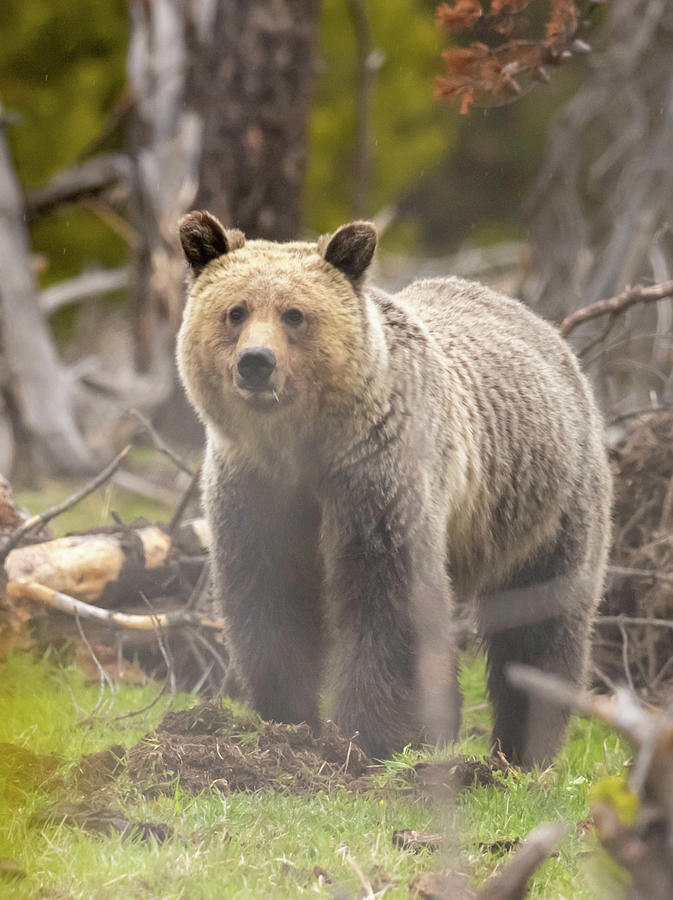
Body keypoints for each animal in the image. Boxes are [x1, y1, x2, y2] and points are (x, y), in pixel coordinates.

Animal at [176, 213, 612, 768]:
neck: (302, 444)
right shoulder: (257, 486)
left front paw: (375, 736)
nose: (256, 362)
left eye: (295, 314)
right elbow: (270, 593)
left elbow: (387, 594)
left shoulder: (377, 471)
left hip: (544, 502)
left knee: (541, 621)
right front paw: (288, 719)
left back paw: (521, 748)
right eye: (235, 311)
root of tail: (547, 329)